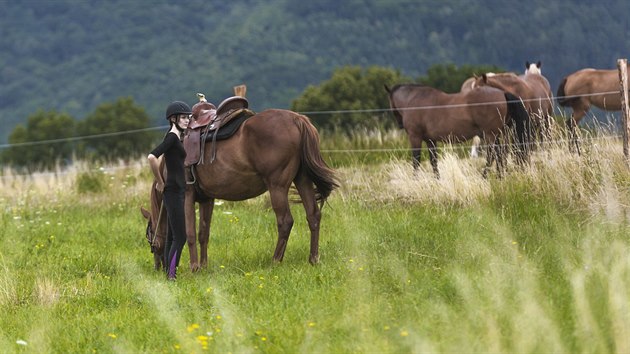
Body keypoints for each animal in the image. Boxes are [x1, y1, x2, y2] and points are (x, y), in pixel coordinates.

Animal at [388, 83, 532, 177]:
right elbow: (433, 161)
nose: (399, 124)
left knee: (492, 155)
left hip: (490, 135)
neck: (414, 100)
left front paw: (416, 179)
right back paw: (500, 176)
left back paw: (485, 176)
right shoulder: (430, 140)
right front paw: (437, 180)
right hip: (495, 135)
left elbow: (416, 161)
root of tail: (502, 93)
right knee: (500, 155)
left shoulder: (415, 138)